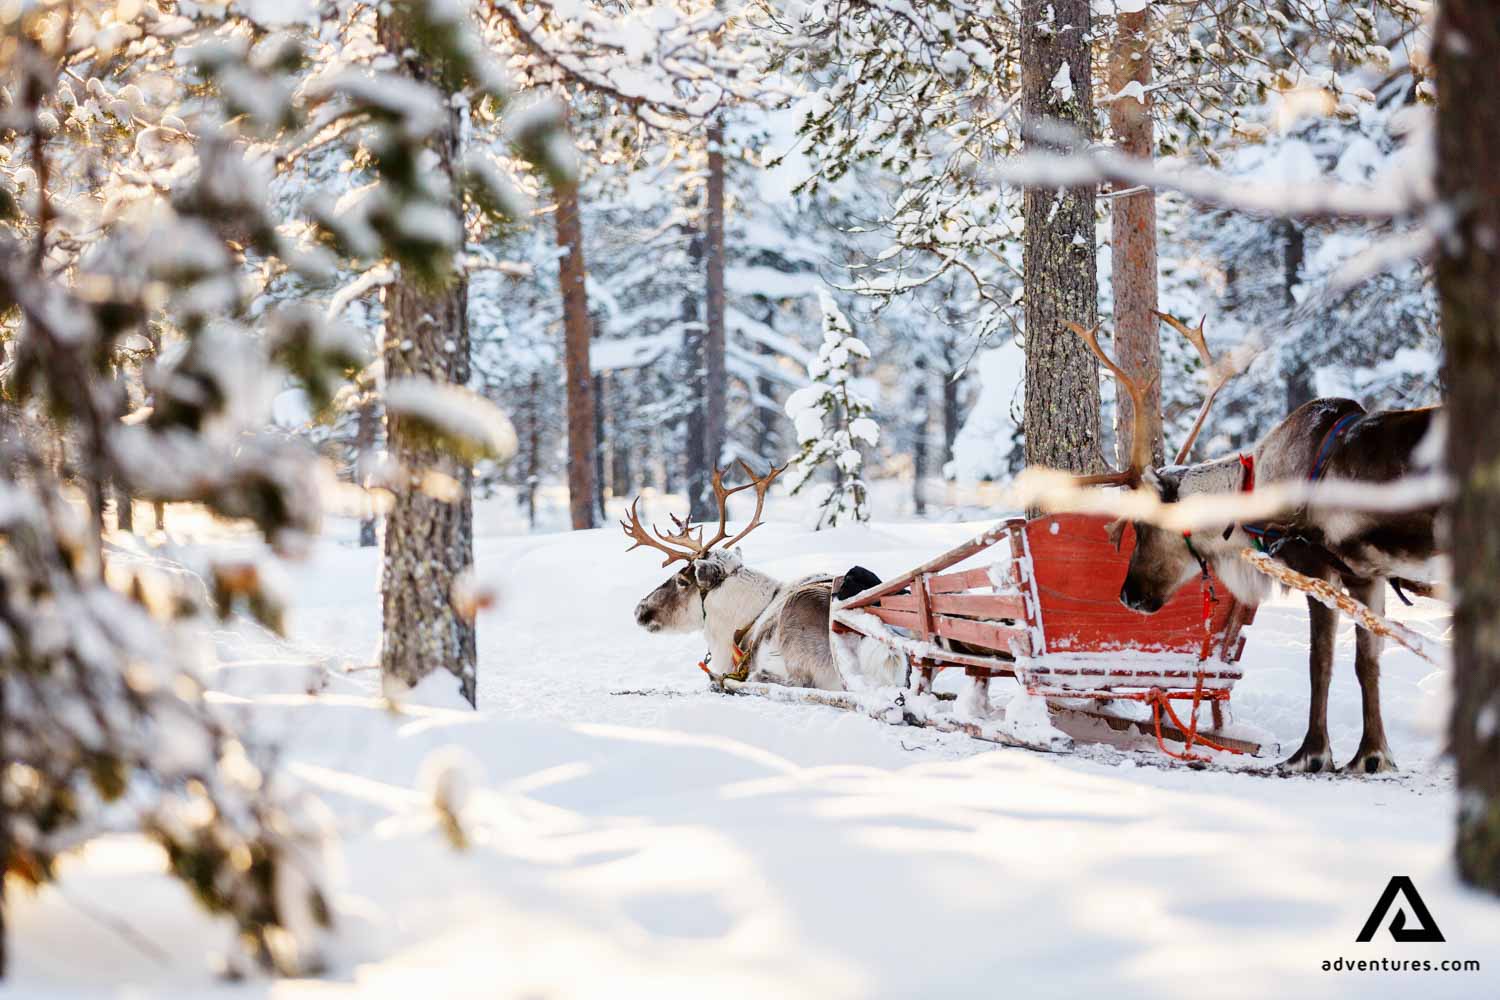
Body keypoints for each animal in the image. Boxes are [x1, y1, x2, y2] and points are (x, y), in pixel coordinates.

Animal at [1061, 314, 1442, 775]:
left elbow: (1321, 661)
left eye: (1145, 526)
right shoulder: (1367, 575)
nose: (1127, 596)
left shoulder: (1317, 568)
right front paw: (1372, 754)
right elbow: (1367, 662)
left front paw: (1312, 754)